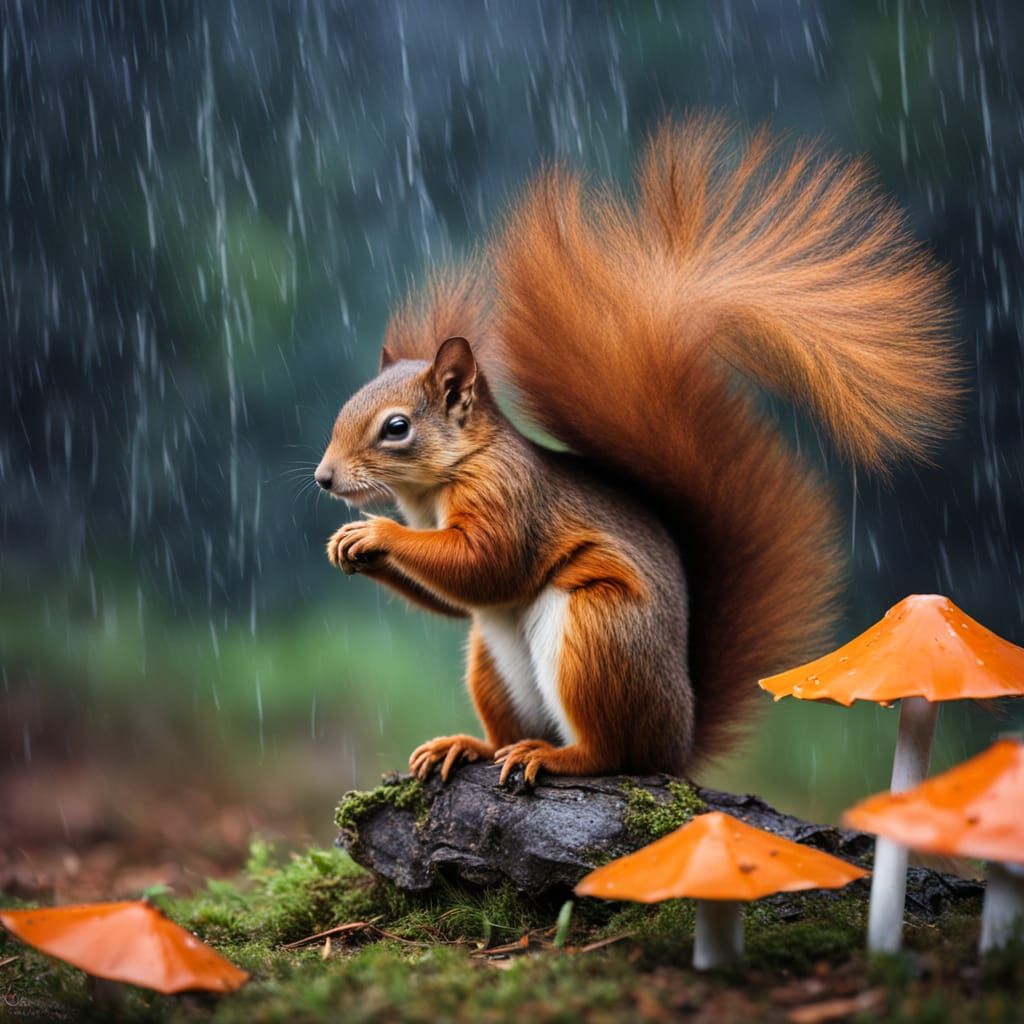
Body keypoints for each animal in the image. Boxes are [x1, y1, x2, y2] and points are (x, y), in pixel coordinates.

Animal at [315, 117, 960, 786]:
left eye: (396, 428)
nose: (324, 478)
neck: (437, 484)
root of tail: (676, 742)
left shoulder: (509, 494)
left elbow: (486, 563)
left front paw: (375, 533)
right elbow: (454, 598)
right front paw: (347, 545)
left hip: (599, 632)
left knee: (610, 753)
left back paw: (555, 755)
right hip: (490, 658)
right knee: (502, 728)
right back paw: (467, 745)